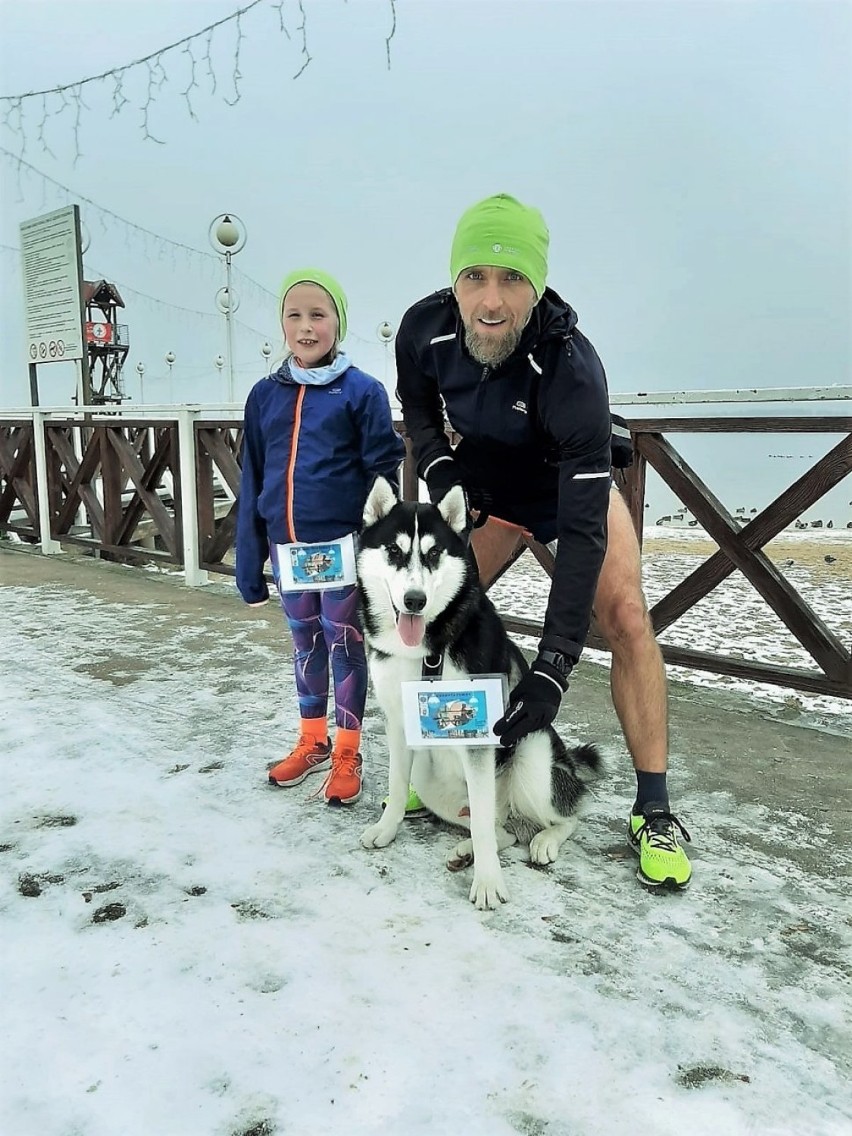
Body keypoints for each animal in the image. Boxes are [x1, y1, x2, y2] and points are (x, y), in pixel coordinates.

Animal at [356, 479, 604, 913]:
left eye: (433, 553)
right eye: (395, 551)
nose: (415, 600)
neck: (425, 650)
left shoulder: (480, 735)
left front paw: (488, 882)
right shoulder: (399, 724)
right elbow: (396, 785)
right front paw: (386, 829)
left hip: (533, 756)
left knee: (560, 818)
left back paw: (543, 840)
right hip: (432, 779)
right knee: (500, 828)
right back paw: (467, 850)